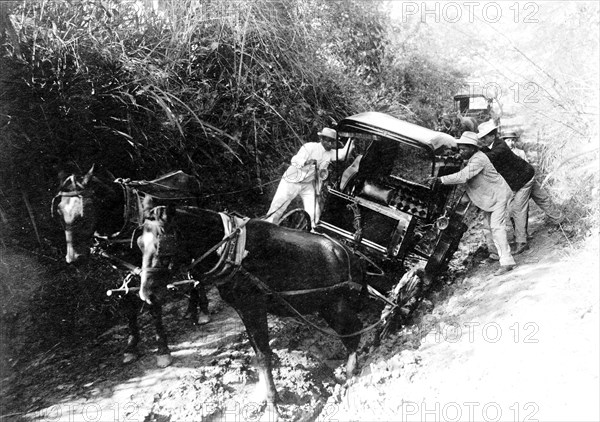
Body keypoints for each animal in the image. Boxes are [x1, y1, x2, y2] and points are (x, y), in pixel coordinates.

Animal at [54, 166, 209, 368]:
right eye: (59, 211)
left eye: (85, 210)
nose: (74, 258)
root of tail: (188, 176)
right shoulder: (122, 268)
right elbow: (127, 302)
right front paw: (131, 347)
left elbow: (152, 303)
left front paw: (162, 349)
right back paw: (191, 309)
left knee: (196, 271)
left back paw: (203, 311)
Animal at [139, 206, 368, 408]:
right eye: (140, 244)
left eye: (163, 245)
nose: (146, 294)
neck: (233, 251)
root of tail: (350, 255)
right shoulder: (243, 309)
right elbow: (258, 351)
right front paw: (264, 393)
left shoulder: (253, 307)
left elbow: (263, 355)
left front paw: (272, 401)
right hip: (325, 305)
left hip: (335, 307)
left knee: (354, 331)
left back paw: (351, 373)